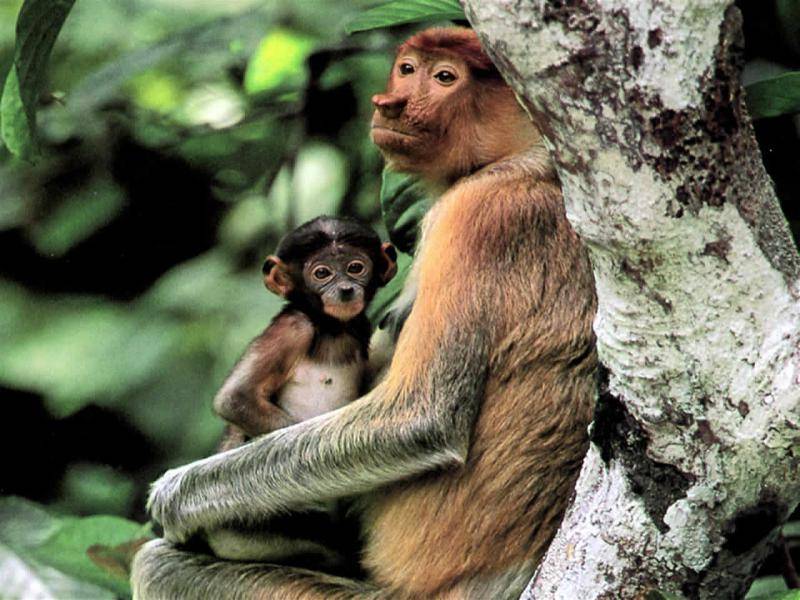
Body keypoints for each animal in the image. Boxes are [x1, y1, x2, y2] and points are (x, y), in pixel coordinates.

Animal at [216, 214, 396, 450]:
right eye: (322, 273)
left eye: (355, 268)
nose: (345, 289)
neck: (330, 326)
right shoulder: (293, 328)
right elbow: (234, 398)